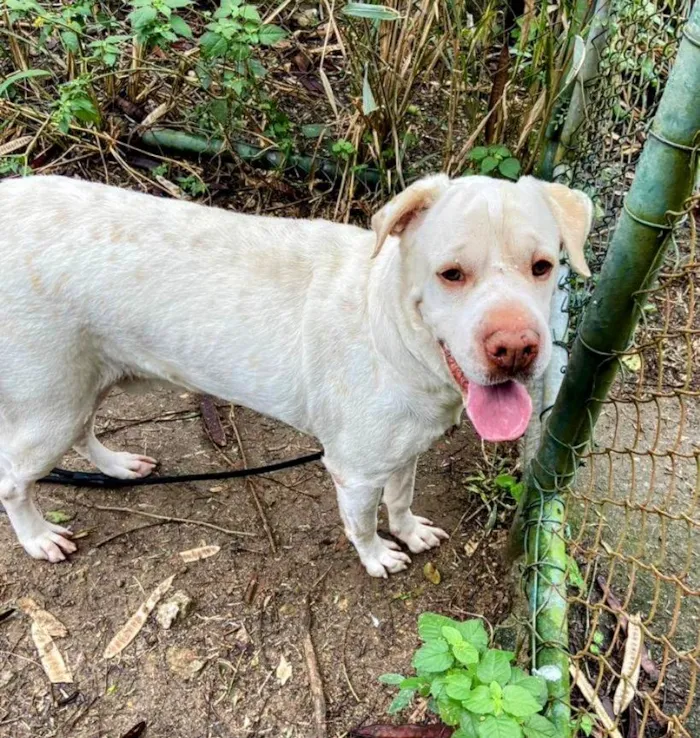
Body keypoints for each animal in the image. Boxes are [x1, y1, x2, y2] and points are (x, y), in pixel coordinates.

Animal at [0, 174, 592, 576]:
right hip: (49, 405)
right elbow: (362, 523)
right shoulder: (354, 472)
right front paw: (378, 555)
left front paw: (409, 532)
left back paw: (118, 466)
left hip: (81, 387)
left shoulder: (405, 450)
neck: (395, 338)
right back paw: (38, 538)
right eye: (451, 274)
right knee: (13, 482)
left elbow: (400, 499)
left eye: (543, 267)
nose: (514, 349)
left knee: (84, 432)